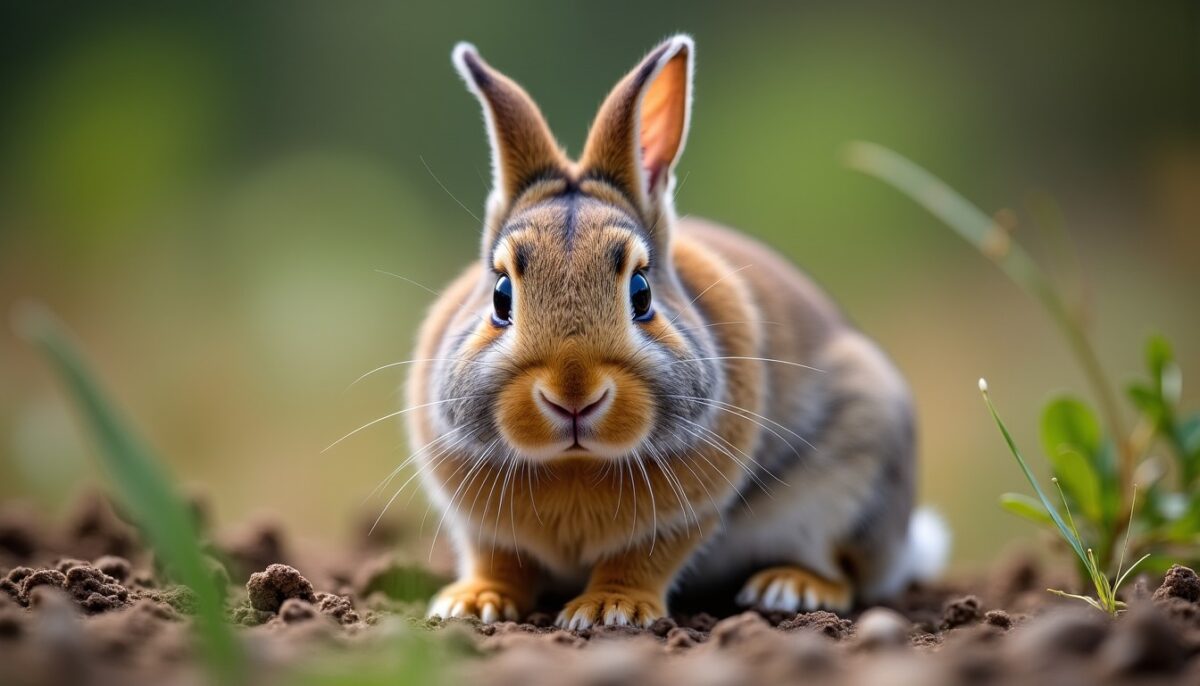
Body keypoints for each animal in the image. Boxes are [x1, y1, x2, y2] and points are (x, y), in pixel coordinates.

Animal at [408, 34, 948, 629]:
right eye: (501, 297)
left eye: (641, 293)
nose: (573, 397)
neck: (575, 465)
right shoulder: (480, 526)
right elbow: (498, 558)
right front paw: (472, 602)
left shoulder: (681, 518)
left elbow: (642, 558)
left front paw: (608, 610)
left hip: (858, 476)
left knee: (846, 573)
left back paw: (790, 588)